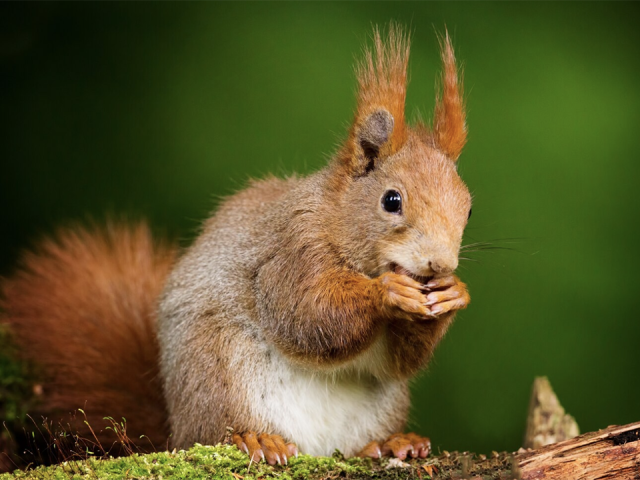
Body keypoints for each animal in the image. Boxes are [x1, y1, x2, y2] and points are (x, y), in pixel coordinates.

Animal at [0, 25, 470, 464]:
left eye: (468, 208)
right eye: (391, 201)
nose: (439, 264)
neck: (337, 219)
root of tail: (177, 427)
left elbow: (400, 360)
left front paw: (454, 294)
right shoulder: (291, 250)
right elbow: (306, 312)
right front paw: (387, 292)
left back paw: (389, 443)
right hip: (220, 373)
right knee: (217, 431)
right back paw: (256, 439)